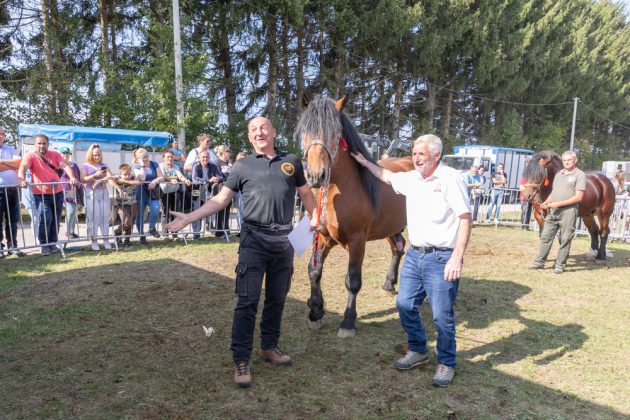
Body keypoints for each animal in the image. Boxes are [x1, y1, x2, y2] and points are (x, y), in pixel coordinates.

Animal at [295, 94, 414, 338]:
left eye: (335, 132)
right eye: (306, 130)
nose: (315, 176)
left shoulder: (358, 240)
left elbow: (353, 280)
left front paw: (348, 321)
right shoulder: (322, 237)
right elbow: (314, 271)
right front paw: (316, 312)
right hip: (390, 227)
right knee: (397, 247)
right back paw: (389, 283)